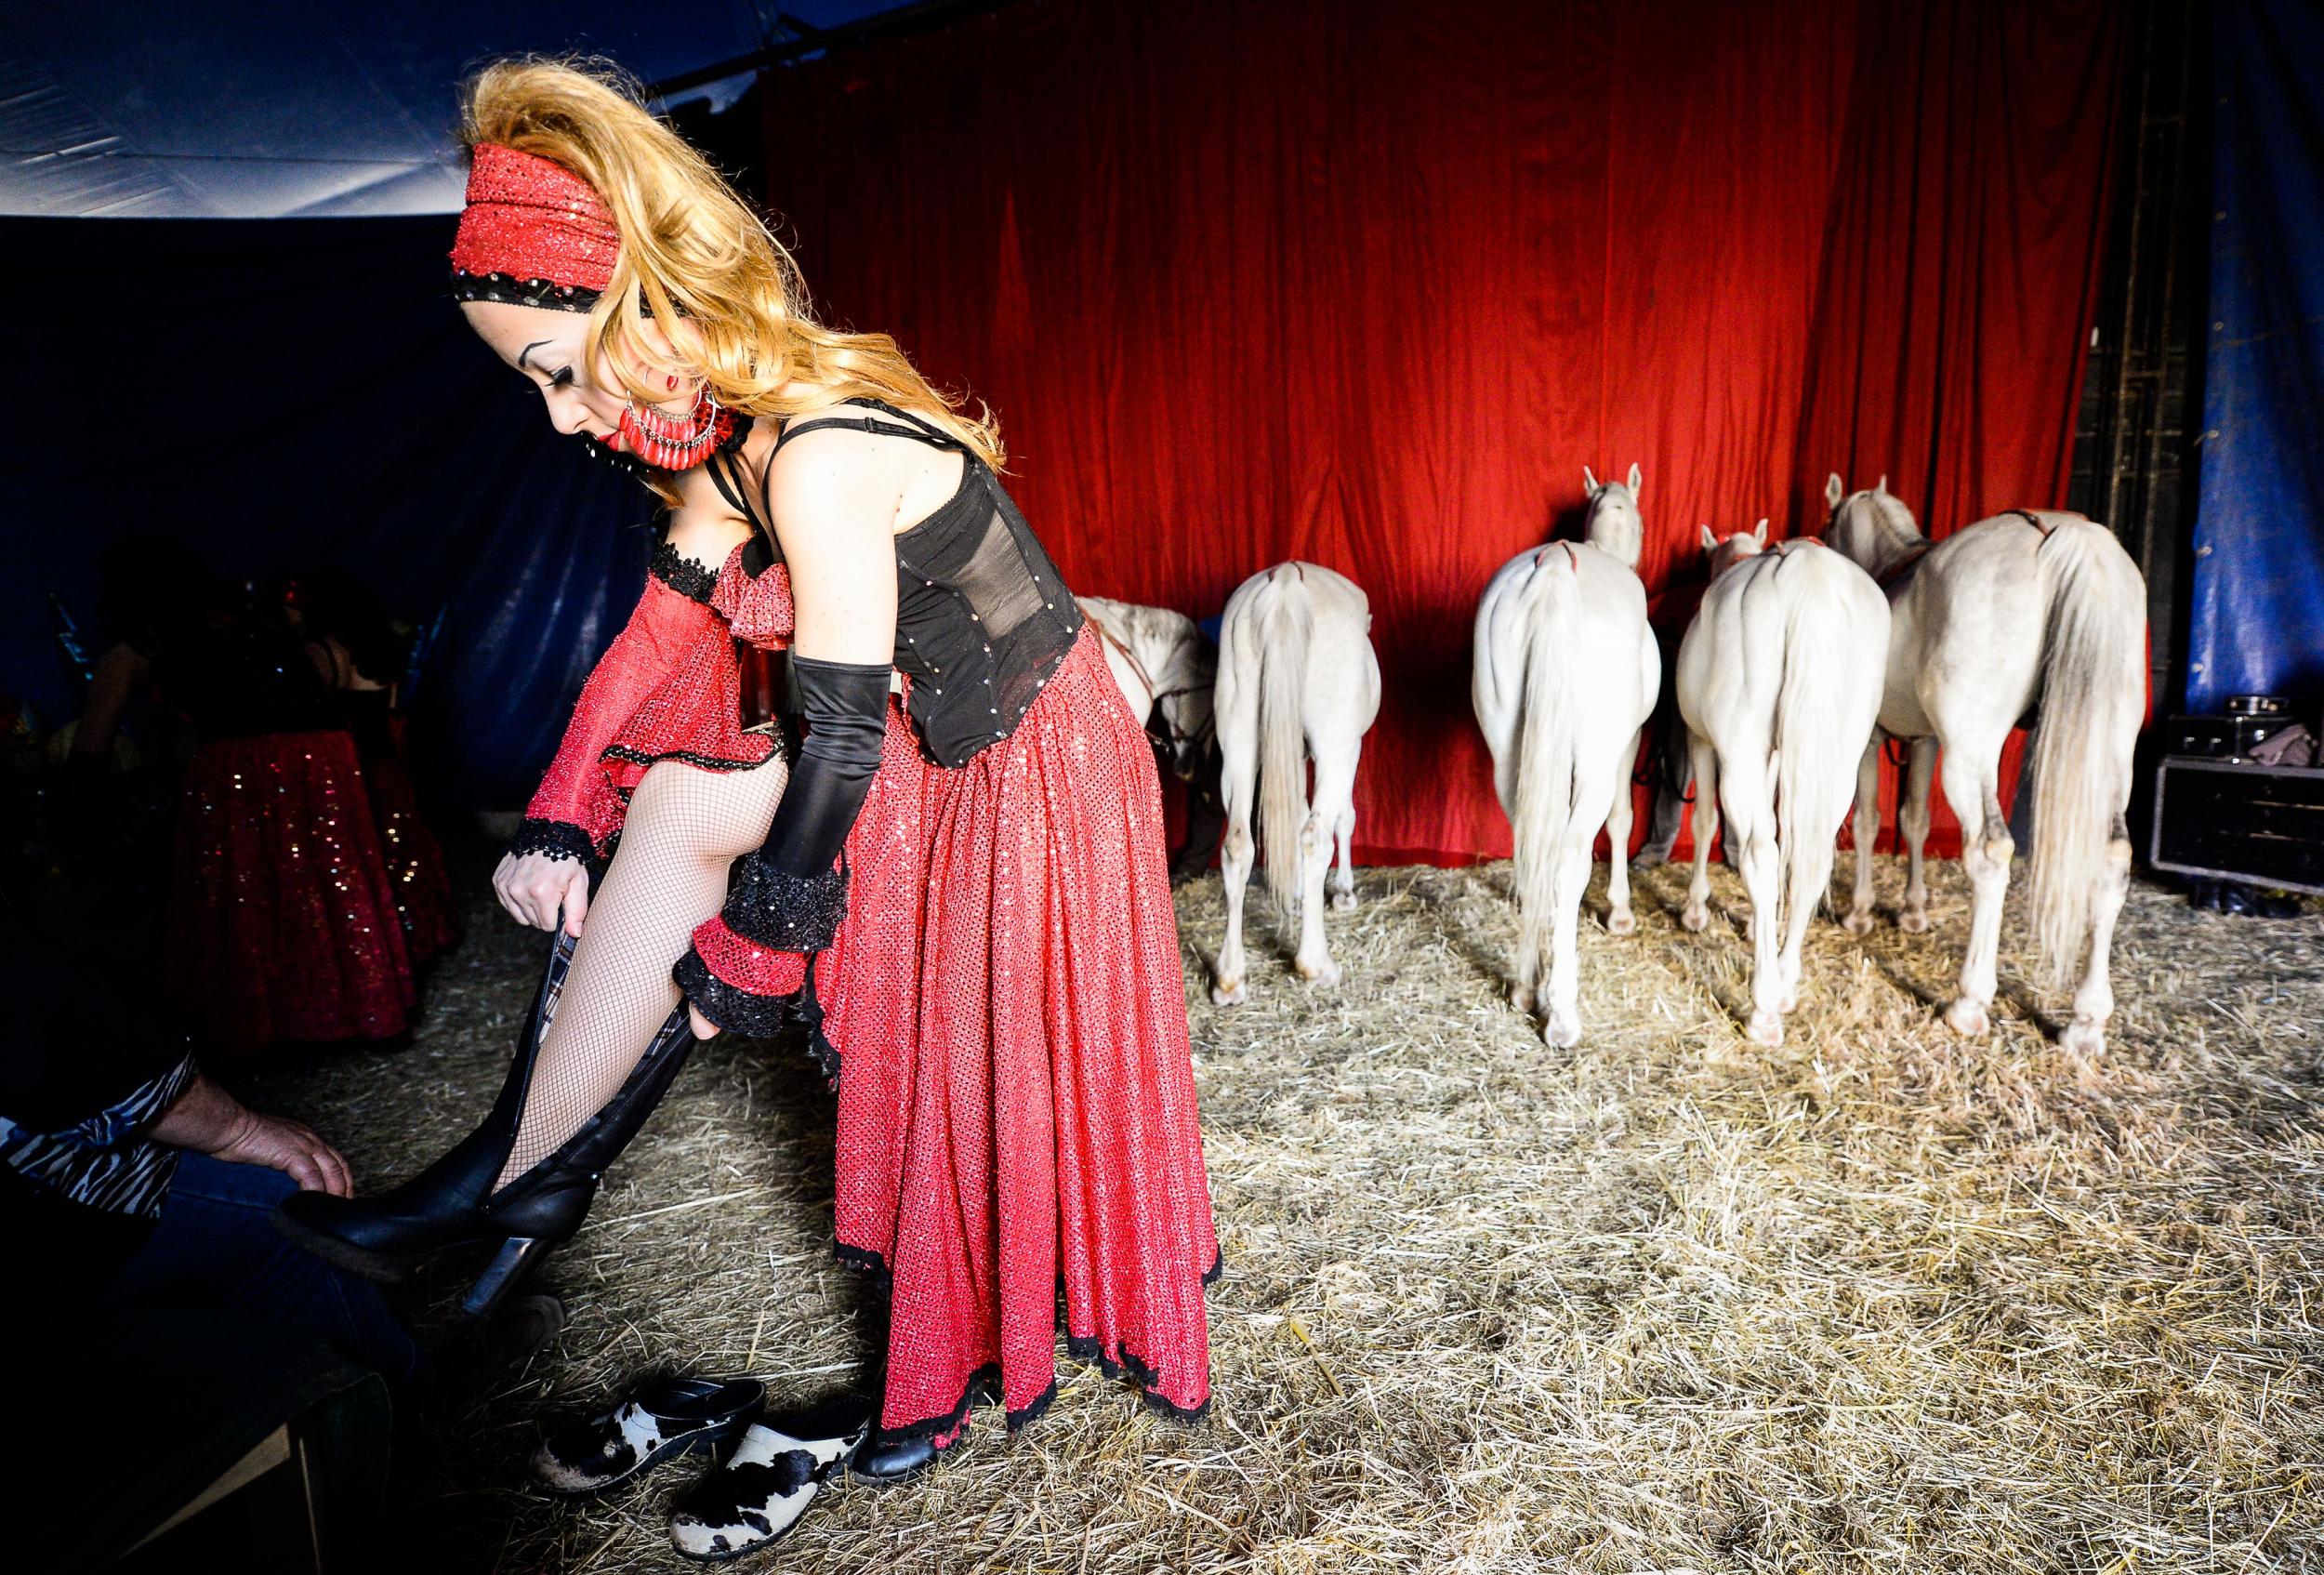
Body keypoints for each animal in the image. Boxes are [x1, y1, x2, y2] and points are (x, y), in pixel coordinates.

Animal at [1208, 562, 1367, 1003]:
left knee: (1238, 845)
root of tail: (1285, 581)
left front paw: (1295, 897)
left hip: (1239, 740)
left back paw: (1230, 979)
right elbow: (1344, 817)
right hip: (1333, 744)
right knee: (1315, 837)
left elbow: (1293, 814)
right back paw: (1317, 965)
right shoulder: (1350, 747)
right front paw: (1343, 893)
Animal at [1478, 467, 1664, 1050]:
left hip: (1508, 754)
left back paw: (1525, 985)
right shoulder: (1629, 742)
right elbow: (1624, 819)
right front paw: (1621, 912)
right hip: (1598, 758)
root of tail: (1557, 567)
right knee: (1569, 857)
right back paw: (1560, 1010)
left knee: (1530, 847)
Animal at [1683, 524, 1896, 1054]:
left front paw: (1696, 909)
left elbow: (1707, 823)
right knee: (1809, 861)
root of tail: (1806, 572)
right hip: (1838, 757)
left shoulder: (1701, 741)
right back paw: (1784, 981)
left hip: (1739, 752)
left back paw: (1763, 1007)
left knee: (1760, 855)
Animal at [1822, 476, 2147, 1054]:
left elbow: (1866, 822)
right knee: (2113, 860)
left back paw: (1970, 1001)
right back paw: (2085, 1023)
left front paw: (1860, 912)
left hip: (1972, 749)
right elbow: (1914, 822)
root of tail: (2068, 537)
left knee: (1991, 852)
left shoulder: (1872, 739)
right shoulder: (1926, 741)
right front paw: (1913, 911)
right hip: (2110, 751)